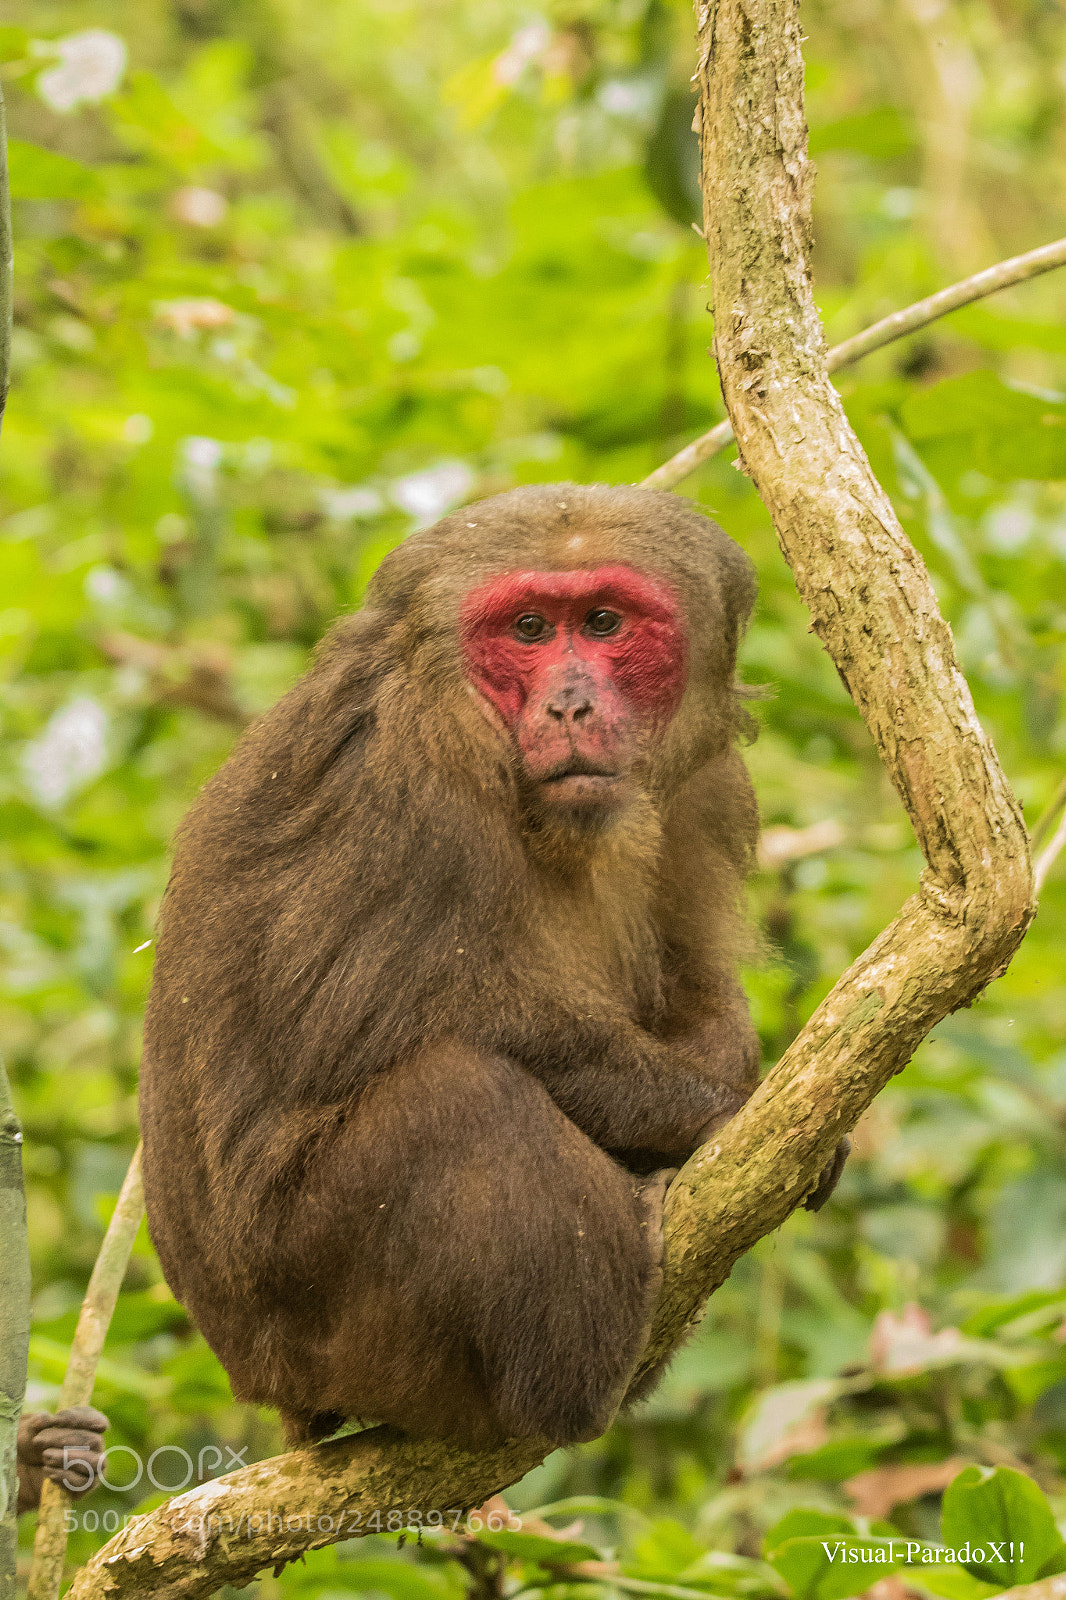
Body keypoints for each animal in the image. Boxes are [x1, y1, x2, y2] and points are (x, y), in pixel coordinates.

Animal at [139, 482, 847, 1452]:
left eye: (603, 622)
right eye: (528, 630)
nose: (570, 708)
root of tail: (262, 1383)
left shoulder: (704, 784)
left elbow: (696, 987)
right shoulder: (405, 775)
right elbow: (383, 1021)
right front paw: (712, 1114)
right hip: (316, 1321)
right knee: (459, 1095)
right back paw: (576, 1383)